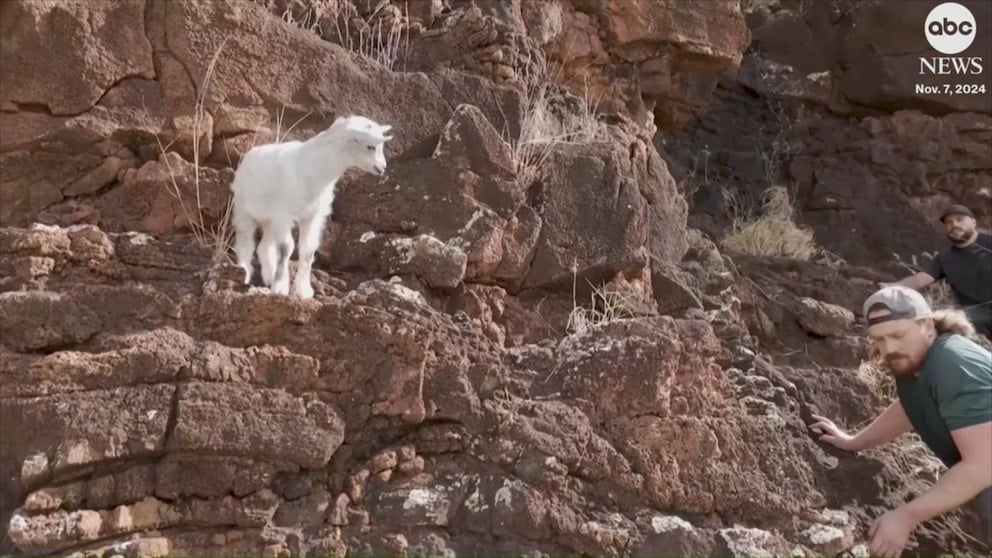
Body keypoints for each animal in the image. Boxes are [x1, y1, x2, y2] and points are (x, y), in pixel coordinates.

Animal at [231, 114, 394, 300]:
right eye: (370, 146)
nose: (382, 168)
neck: (313, 171)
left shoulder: (313, 216)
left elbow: (308, 251)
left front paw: (304, 290)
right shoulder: (283, 214)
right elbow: (286, 248)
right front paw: (280, 288)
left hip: (269, 221)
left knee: (264, 246)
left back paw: (268, 276)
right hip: (243, 209)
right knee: (245, 242)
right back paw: (245, 273)